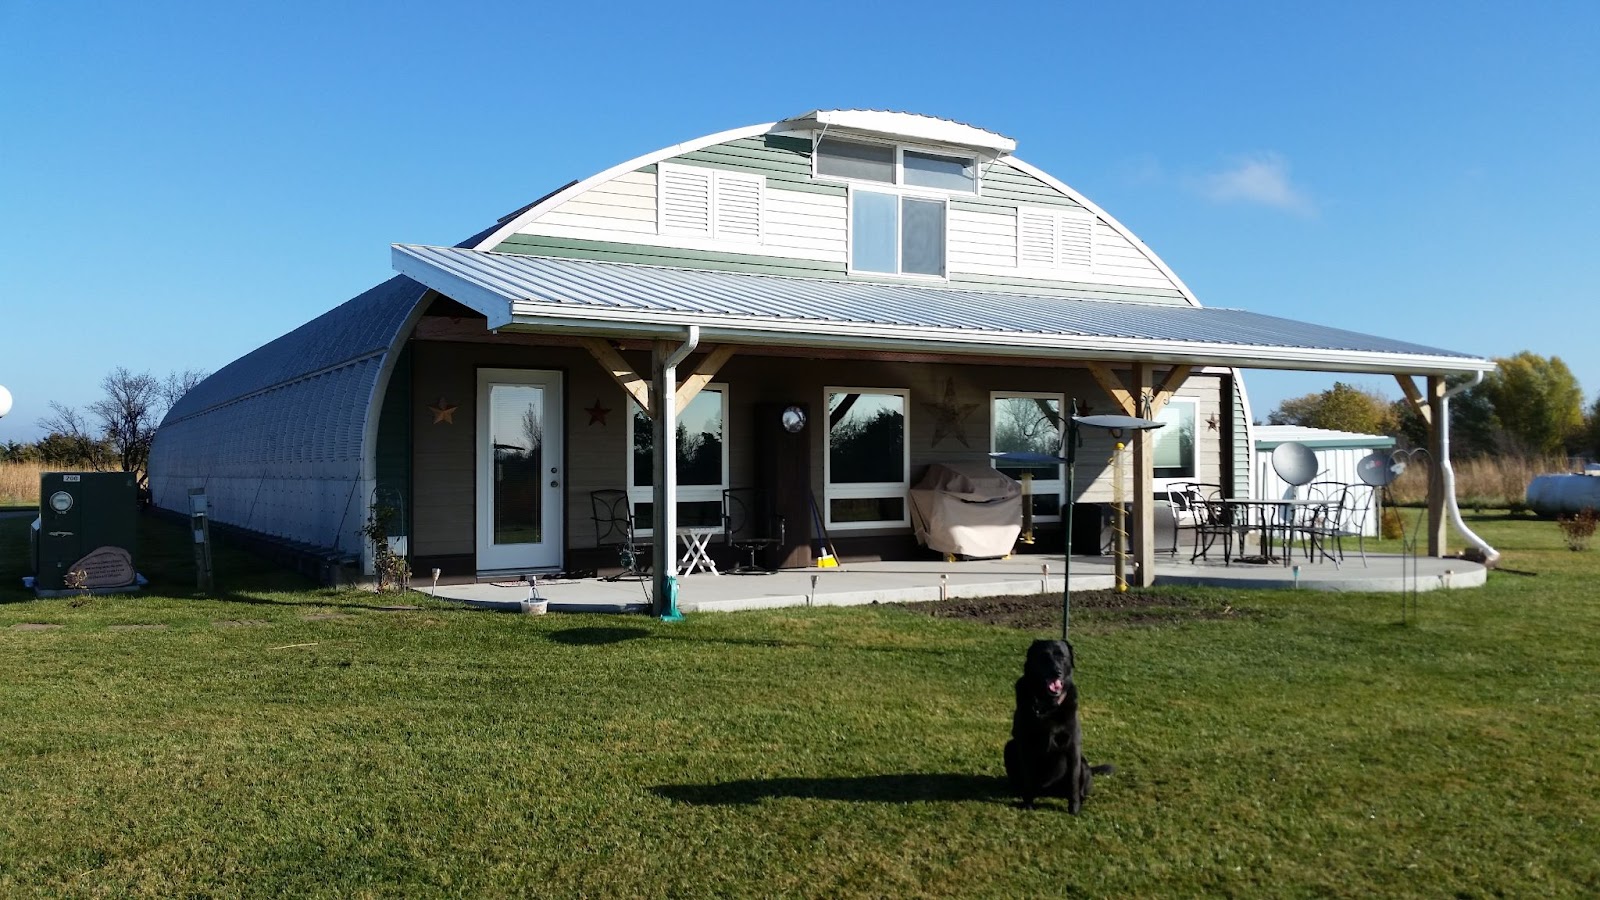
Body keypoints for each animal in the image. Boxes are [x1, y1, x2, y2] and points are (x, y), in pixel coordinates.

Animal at [998, 634, 1113, 810]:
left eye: (1062, 656)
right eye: (1044, 657)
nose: (1056, 672)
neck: (1047, 706)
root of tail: (1047, 792)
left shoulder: (1073, 747)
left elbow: (1073, 782)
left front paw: (1074, 809)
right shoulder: (1024, 744)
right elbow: (1028, 777)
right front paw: (1028, 804)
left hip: (1083, 764)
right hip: (1009, 747)